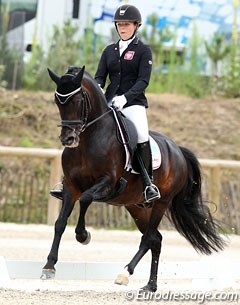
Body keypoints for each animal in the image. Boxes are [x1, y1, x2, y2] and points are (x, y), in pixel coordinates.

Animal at [41, 66, 225, 290]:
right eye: (58, 101)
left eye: (77, 100)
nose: (68, 139)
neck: (87, 140)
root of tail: (177, 150)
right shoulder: (70, 186)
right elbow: (60, 223)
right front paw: (49, 266)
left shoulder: (107, 183)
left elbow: (85, 199)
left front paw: (83, 236)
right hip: (136, 206)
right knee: (156, 239)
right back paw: (150, 285)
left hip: (161, 202)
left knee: (149, 237)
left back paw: (125, 273)